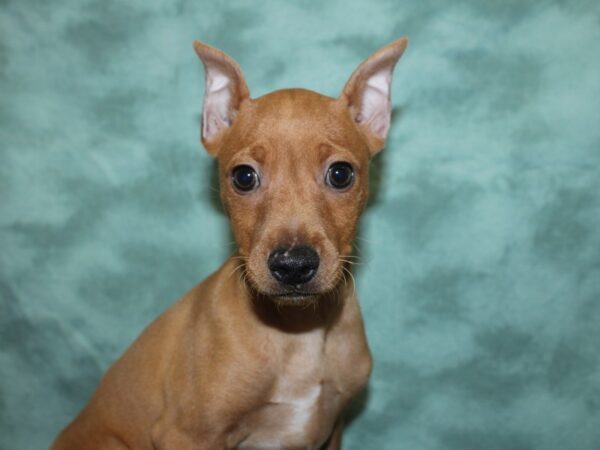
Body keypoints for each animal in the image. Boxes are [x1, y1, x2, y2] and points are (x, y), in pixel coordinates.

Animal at [51, 36, 408, 450]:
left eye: (340, 174)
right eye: (243, 177)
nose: (293, 266)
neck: (297, 333)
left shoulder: (332, 430)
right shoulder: (185, 435)